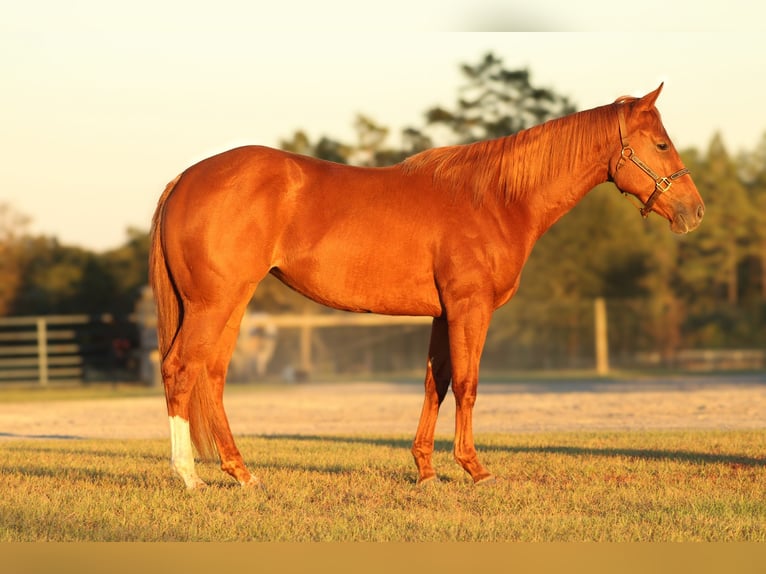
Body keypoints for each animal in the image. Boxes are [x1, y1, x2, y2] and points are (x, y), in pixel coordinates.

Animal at [152, 85, 708, 490]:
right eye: (661, 144)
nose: (694, 210)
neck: (495, 198)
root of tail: (184, 179)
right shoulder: (470, 308)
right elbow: (467, 383)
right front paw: (475, 468)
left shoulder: (443, 313)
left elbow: (434, 383)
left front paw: (425, 470)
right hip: (214, 304)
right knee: (181, 369)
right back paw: (188, 477)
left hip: (230, 305)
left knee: (212, 376)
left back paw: (241, 473)